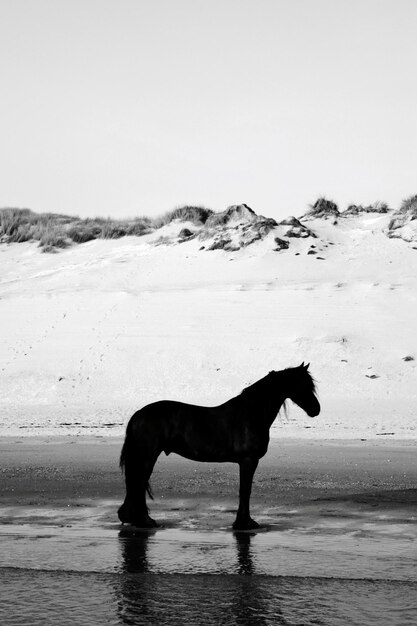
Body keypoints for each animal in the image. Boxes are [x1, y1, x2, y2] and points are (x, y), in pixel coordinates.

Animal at [117, 360, 318, 528]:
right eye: (301, 385)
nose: (316, 409)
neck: (251, 414)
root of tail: (138, 414)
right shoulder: (248, 461)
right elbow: (245, 490)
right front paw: (244, 523)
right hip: (147, 456)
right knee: (139, 482)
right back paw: (144, 520)